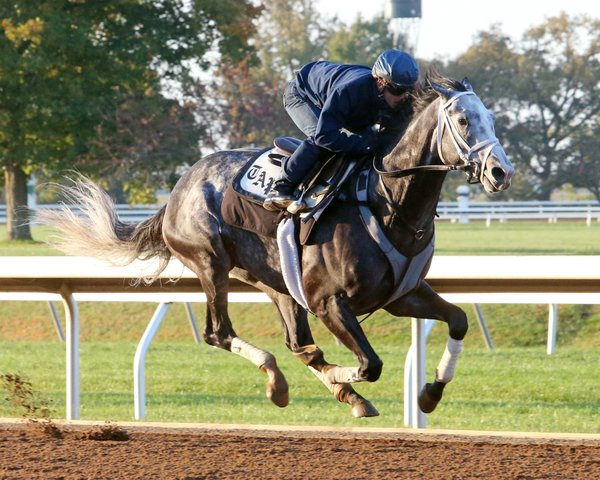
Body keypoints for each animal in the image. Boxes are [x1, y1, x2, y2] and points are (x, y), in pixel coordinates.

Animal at [39, 73, 512, 418]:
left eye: (490, 119)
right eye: (464, 121)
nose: (500, 172)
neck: (385, 201)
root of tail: (176, 191)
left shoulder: (403, 295)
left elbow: (458, 320)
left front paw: (429, 393)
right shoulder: (328, 302)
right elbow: (369, 365)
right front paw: (346, 376)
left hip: (275, 282)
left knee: (295, 344)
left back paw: (324, 391)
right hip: (210, 262)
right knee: (220, 333)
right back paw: (288, 382)